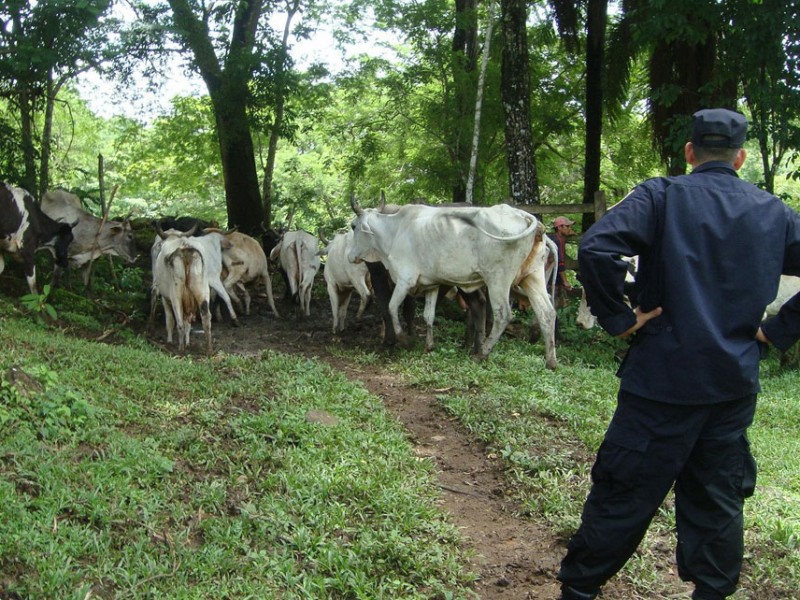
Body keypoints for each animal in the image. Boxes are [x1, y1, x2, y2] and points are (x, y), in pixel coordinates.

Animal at [346, 199, 548, 364]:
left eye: (353, 226)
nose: (350, 256)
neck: (394, 231)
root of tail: (522, 214)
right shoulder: (431, 285)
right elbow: (428, 315)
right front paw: (428, 345)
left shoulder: (405, 281)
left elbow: (392, 307)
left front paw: (404, 340)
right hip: (533, 275)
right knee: (546, 312)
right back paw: (550, 361)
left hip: (498, 280)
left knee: (503, 315)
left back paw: (481, 353)